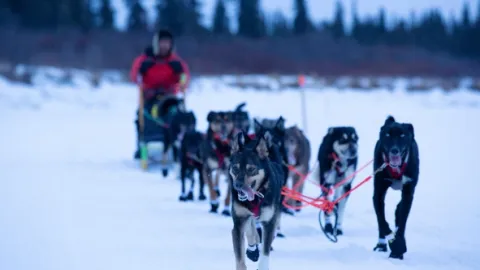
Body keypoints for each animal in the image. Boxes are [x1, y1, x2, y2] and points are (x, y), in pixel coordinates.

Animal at [230, 132, 284, 270]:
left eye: (251, 169)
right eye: (235, 168)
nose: (237, 185)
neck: (255, 198)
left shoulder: (269, 223)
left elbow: (265, 251)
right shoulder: (238, 223)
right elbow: (239, 258)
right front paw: (251, 251)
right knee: (251, 228)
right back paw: (252, 250)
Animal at [374, 116, 418, 260]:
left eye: (402, 135)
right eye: (388, 135)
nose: (394, 150)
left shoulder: (408, 193)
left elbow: (402, 220)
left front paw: (398, 249)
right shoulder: (378, 193)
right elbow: (382, 221)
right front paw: (395, 244)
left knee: (399, 211)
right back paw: (381, 245)